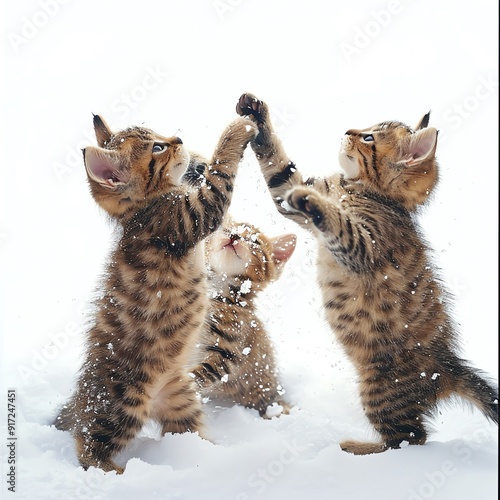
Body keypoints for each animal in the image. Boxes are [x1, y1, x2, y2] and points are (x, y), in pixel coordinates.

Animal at [54, 113, 258, 472]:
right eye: (158, 148)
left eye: (158, 135)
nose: (178, 138)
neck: (141, 212)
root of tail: (82, 398)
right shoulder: (190, 218)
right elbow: (221, 176)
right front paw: (238, 130)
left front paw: (199, 161)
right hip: (122, 406)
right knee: (89, 446)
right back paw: (119, 472)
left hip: (181, 398)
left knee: (187, 432)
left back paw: (208, 459)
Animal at [189, 217, 294, 416]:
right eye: (228, 229)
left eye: (255, 241)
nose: (234, 236)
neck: (216, 292)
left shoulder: (229, 350)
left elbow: (203, 373)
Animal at [236, 92, 498, 456]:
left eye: (370, 138)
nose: (348, 129)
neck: (359, 189)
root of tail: (448, 365)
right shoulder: (288, 192)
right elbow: (279, 168)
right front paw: (256, 113)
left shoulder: (362, 244)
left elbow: (333, 216)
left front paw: (313, 200)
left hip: (378, 389)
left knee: (409, 438)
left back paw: (356, 447)